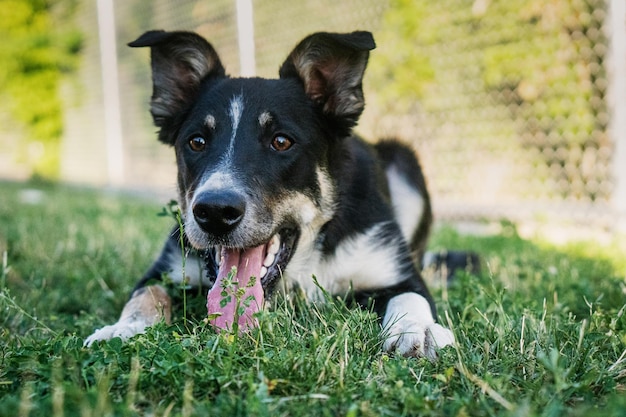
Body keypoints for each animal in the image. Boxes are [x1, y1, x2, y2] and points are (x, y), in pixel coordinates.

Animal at [83, 29, 454, 356]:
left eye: (281, 142)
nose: (215, 213)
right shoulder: (169, 264)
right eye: (197, 141)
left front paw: (418, 329)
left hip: (404, 161)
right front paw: (124, 328)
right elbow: (147, 293)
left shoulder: (393, 268)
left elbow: (411, 297)